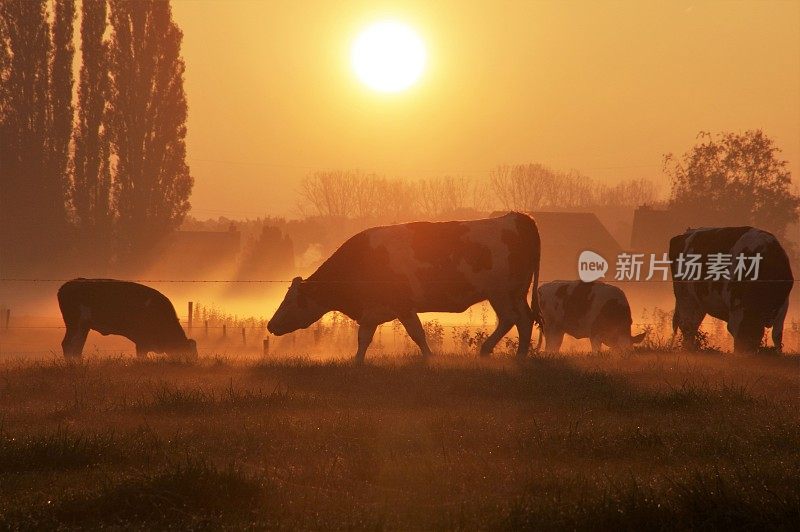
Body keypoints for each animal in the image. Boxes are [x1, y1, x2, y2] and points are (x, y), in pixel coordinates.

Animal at [56, 278, 197, 358]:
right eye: (187, 355)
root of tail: (67, 285)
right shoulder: (141, 342)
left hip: (84, 326)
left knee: (77, 346)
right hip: (75, 323)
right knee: (68, 344)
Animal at [268, 212, 544, 362]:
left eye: (290, 301)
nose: (271, 325)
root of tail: (517, 217)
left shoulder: (403, 306)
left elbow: (417, 333)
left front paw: (430, 358)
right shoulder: (372, 311)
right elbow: (364, 338)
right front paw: (357, 362)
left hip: (502, 293)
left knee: (513, 319)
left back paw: (492, 351)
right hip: (513, 294)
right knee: (522, 319)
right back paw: (515, 355)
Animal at [668, 225, 792, 354]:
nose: (742, 355)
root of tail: (688, 232)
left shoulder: (783, 306)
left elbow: (777, 335)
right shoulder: (737, 310)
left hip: (699, 303)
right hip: (686, 298)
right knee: (688, 326)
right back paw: (688, 350)